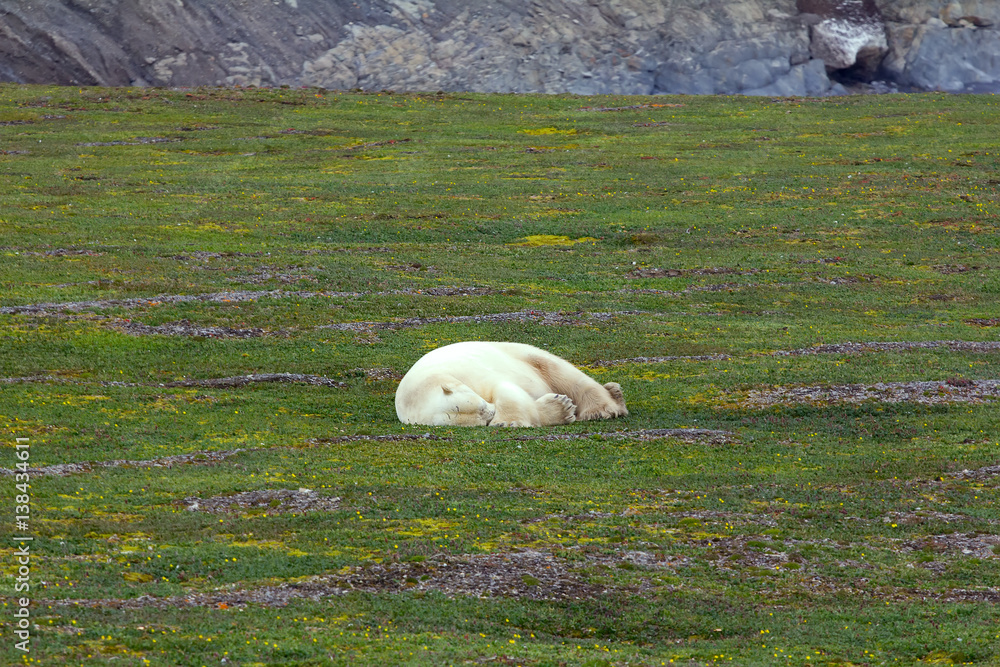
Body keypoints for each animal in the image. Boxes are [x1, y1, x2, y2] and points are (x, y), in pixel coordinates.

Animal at [395, 341, 627, 427]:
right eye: (479, 420)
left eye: (481, 407)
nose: (491, 413)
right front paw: (561, 409)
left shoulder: (467, 372)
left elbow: (505, 388)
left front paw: (507, 422)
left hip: (521, 354)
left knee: (562, 372)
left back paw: (602, 408)